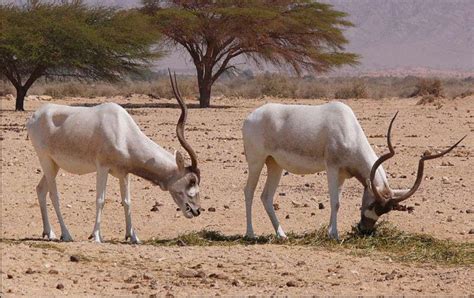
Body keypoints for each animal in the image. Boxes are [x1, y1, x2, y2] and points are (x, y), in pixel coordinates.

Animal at [26, 72, 200, 242]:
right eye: (192, 181)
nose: (197, 210)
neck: (123, 130)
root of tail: (34, 117)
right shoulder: (102, 168)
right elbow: (100, 200)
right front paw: (96, 236)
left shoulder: (124, 173)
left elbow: (127, 201)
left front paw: (133, 236)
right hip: (45, 160)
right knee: (54, 195)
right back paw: (66, 234)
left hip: (54, 165)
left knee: (40, 190)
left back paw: (49, 233)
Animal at [243, 102, 464, 240]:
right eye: (372, 205)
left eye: (384, 211)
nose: (364, 230)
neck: (348, 128)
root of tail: (250, 117)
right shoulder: (332, 168)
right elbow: (335, 202)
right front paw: (334, 235)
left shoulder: (342, 174)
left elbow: (337, 202)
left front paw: (330, 231)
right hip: (256, 162)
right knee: (249, 192)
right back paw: (250, 234)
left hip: (275, 164)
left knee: (266, 196)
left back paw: (282, 235)